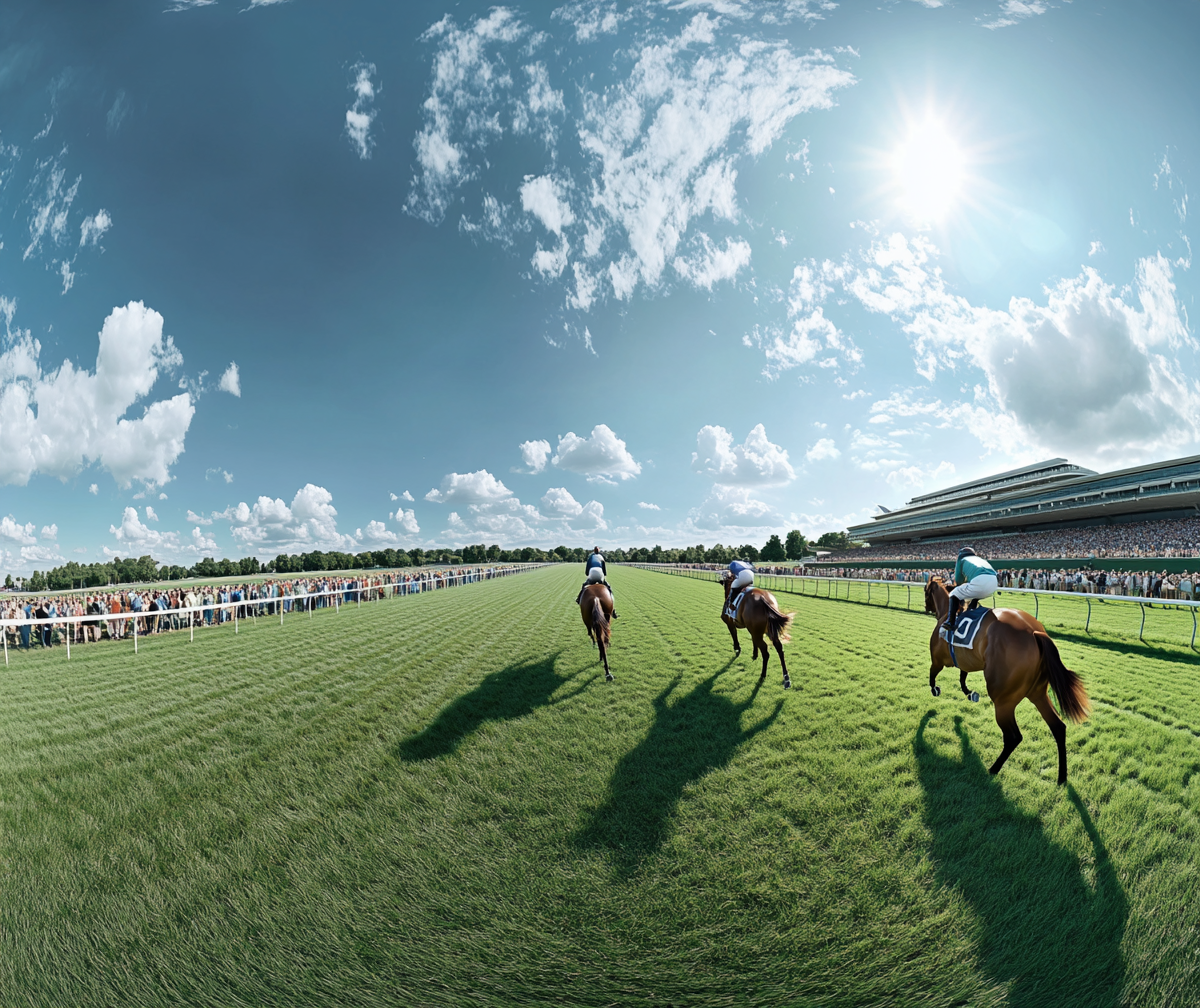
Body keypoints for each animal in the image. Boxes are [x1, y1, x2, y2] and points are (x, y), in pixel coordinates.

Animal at [921, 576, 1094, 787]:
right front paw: (969, 693)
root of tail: (1035, 632)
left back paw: (993, 769)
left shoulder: (937, 659)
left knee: (1013, 737)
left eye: (925, 590)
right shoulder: (965, 659)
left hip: (1003, 700)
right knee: (1058, 727)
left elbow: (932, 674)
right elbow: (963, 676)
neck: (948, 612)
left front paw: (935, 689)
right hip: (1038, 693)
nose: (926, 606)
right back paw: (1061, 777)